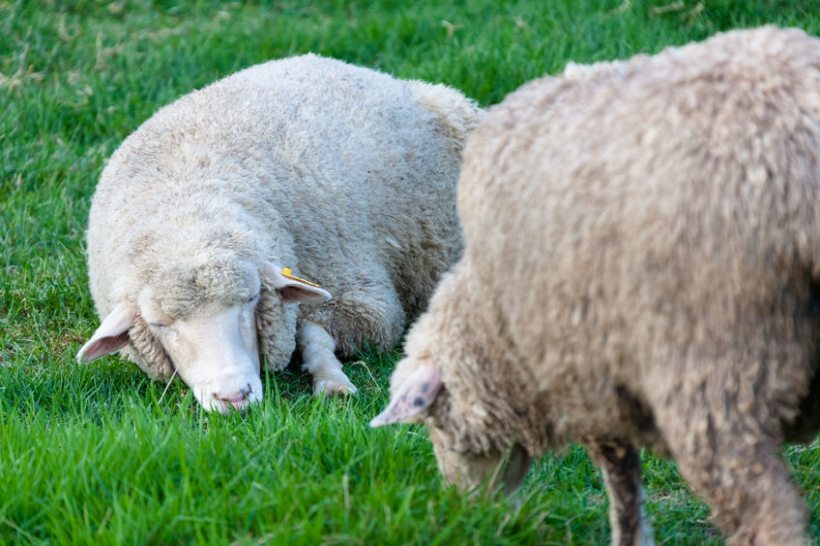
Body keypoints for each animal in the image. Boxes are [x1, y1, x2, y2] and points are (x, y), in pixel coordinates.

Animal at [77, 54, 480, 412]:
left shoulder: (359, 290)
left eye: (252, 299)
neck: (186, 205)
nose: (234, 396)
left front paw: (331, 380)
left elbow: (314, 330)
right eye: (160, 324)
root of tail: (380, 76)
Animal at [374, 26, 820, 544]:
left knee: (766, 511)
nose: (467, 513)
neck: (494, 318)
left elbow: (622, 489)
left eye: (437, 425)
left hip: (717, 368)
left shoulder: (586, 377)